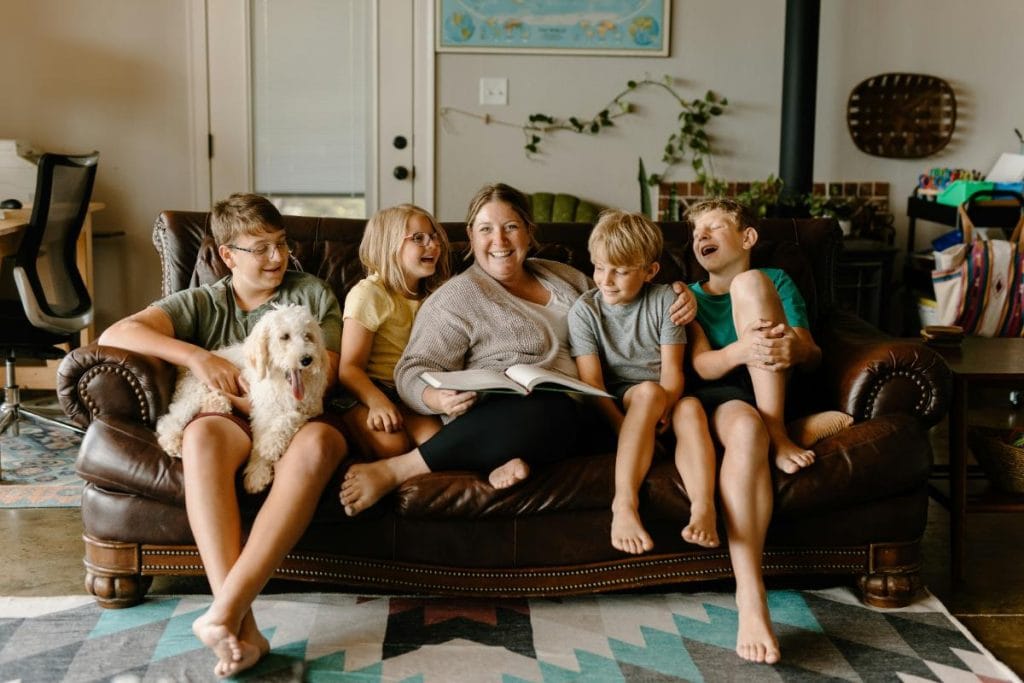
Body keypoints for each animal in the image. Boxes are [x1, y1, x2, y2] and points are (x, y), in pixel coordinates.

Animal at [155, 305, 327, 491]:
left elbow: (289, 417)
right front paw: (258, 470)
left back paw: (217, 403)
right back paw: (172, 441)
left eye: (308, 336)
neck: (282, 384)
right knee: (171, 418)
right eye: (284, 337)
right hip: (195, 391)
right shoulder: (262, 410)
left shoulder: (311, 407)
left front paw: (271, 445)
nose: (307, 359)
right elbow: (260, 437)